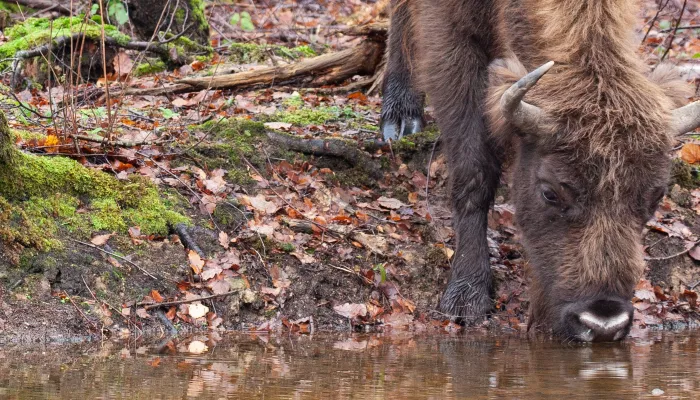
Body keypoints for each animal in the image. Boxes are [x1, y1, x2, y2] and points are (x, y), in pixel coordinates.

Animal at [380, 0, 700, 340]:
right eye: (549, 193)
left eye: (656, 196)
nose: (603, 322)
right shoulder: (449, 30)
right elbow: (474, 170)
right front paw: (467, 298)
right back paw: (400, 118)